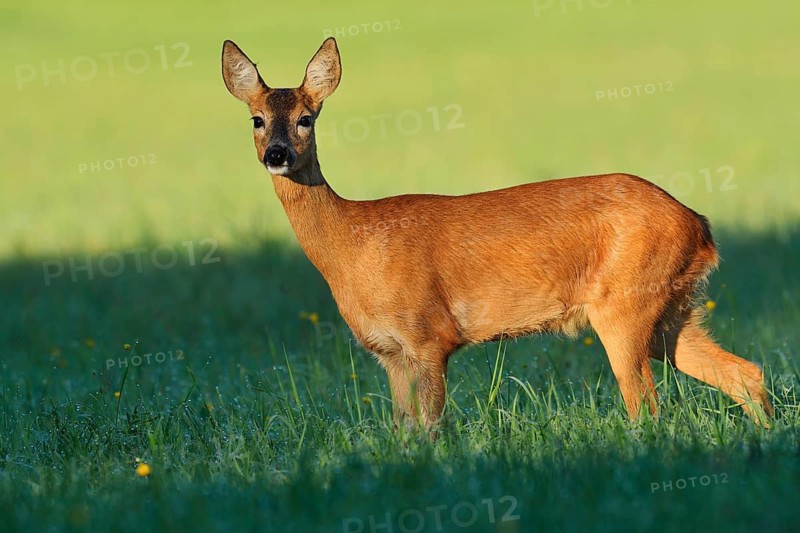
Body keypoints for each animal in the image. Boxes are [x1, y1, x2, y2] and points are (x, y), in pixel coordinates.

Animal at [221, 37, 773, 431]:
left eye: (305, 119)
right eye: (257, 119)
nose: (277, 154)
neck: (352, 244)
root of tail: (698, 224)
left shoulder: (429, 335)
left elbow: (433, 429)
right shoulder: (389, 353)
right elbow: (403, 432)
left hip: (626, 302)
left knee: (647, 405)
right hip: (671, 309)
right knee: (744, 372)